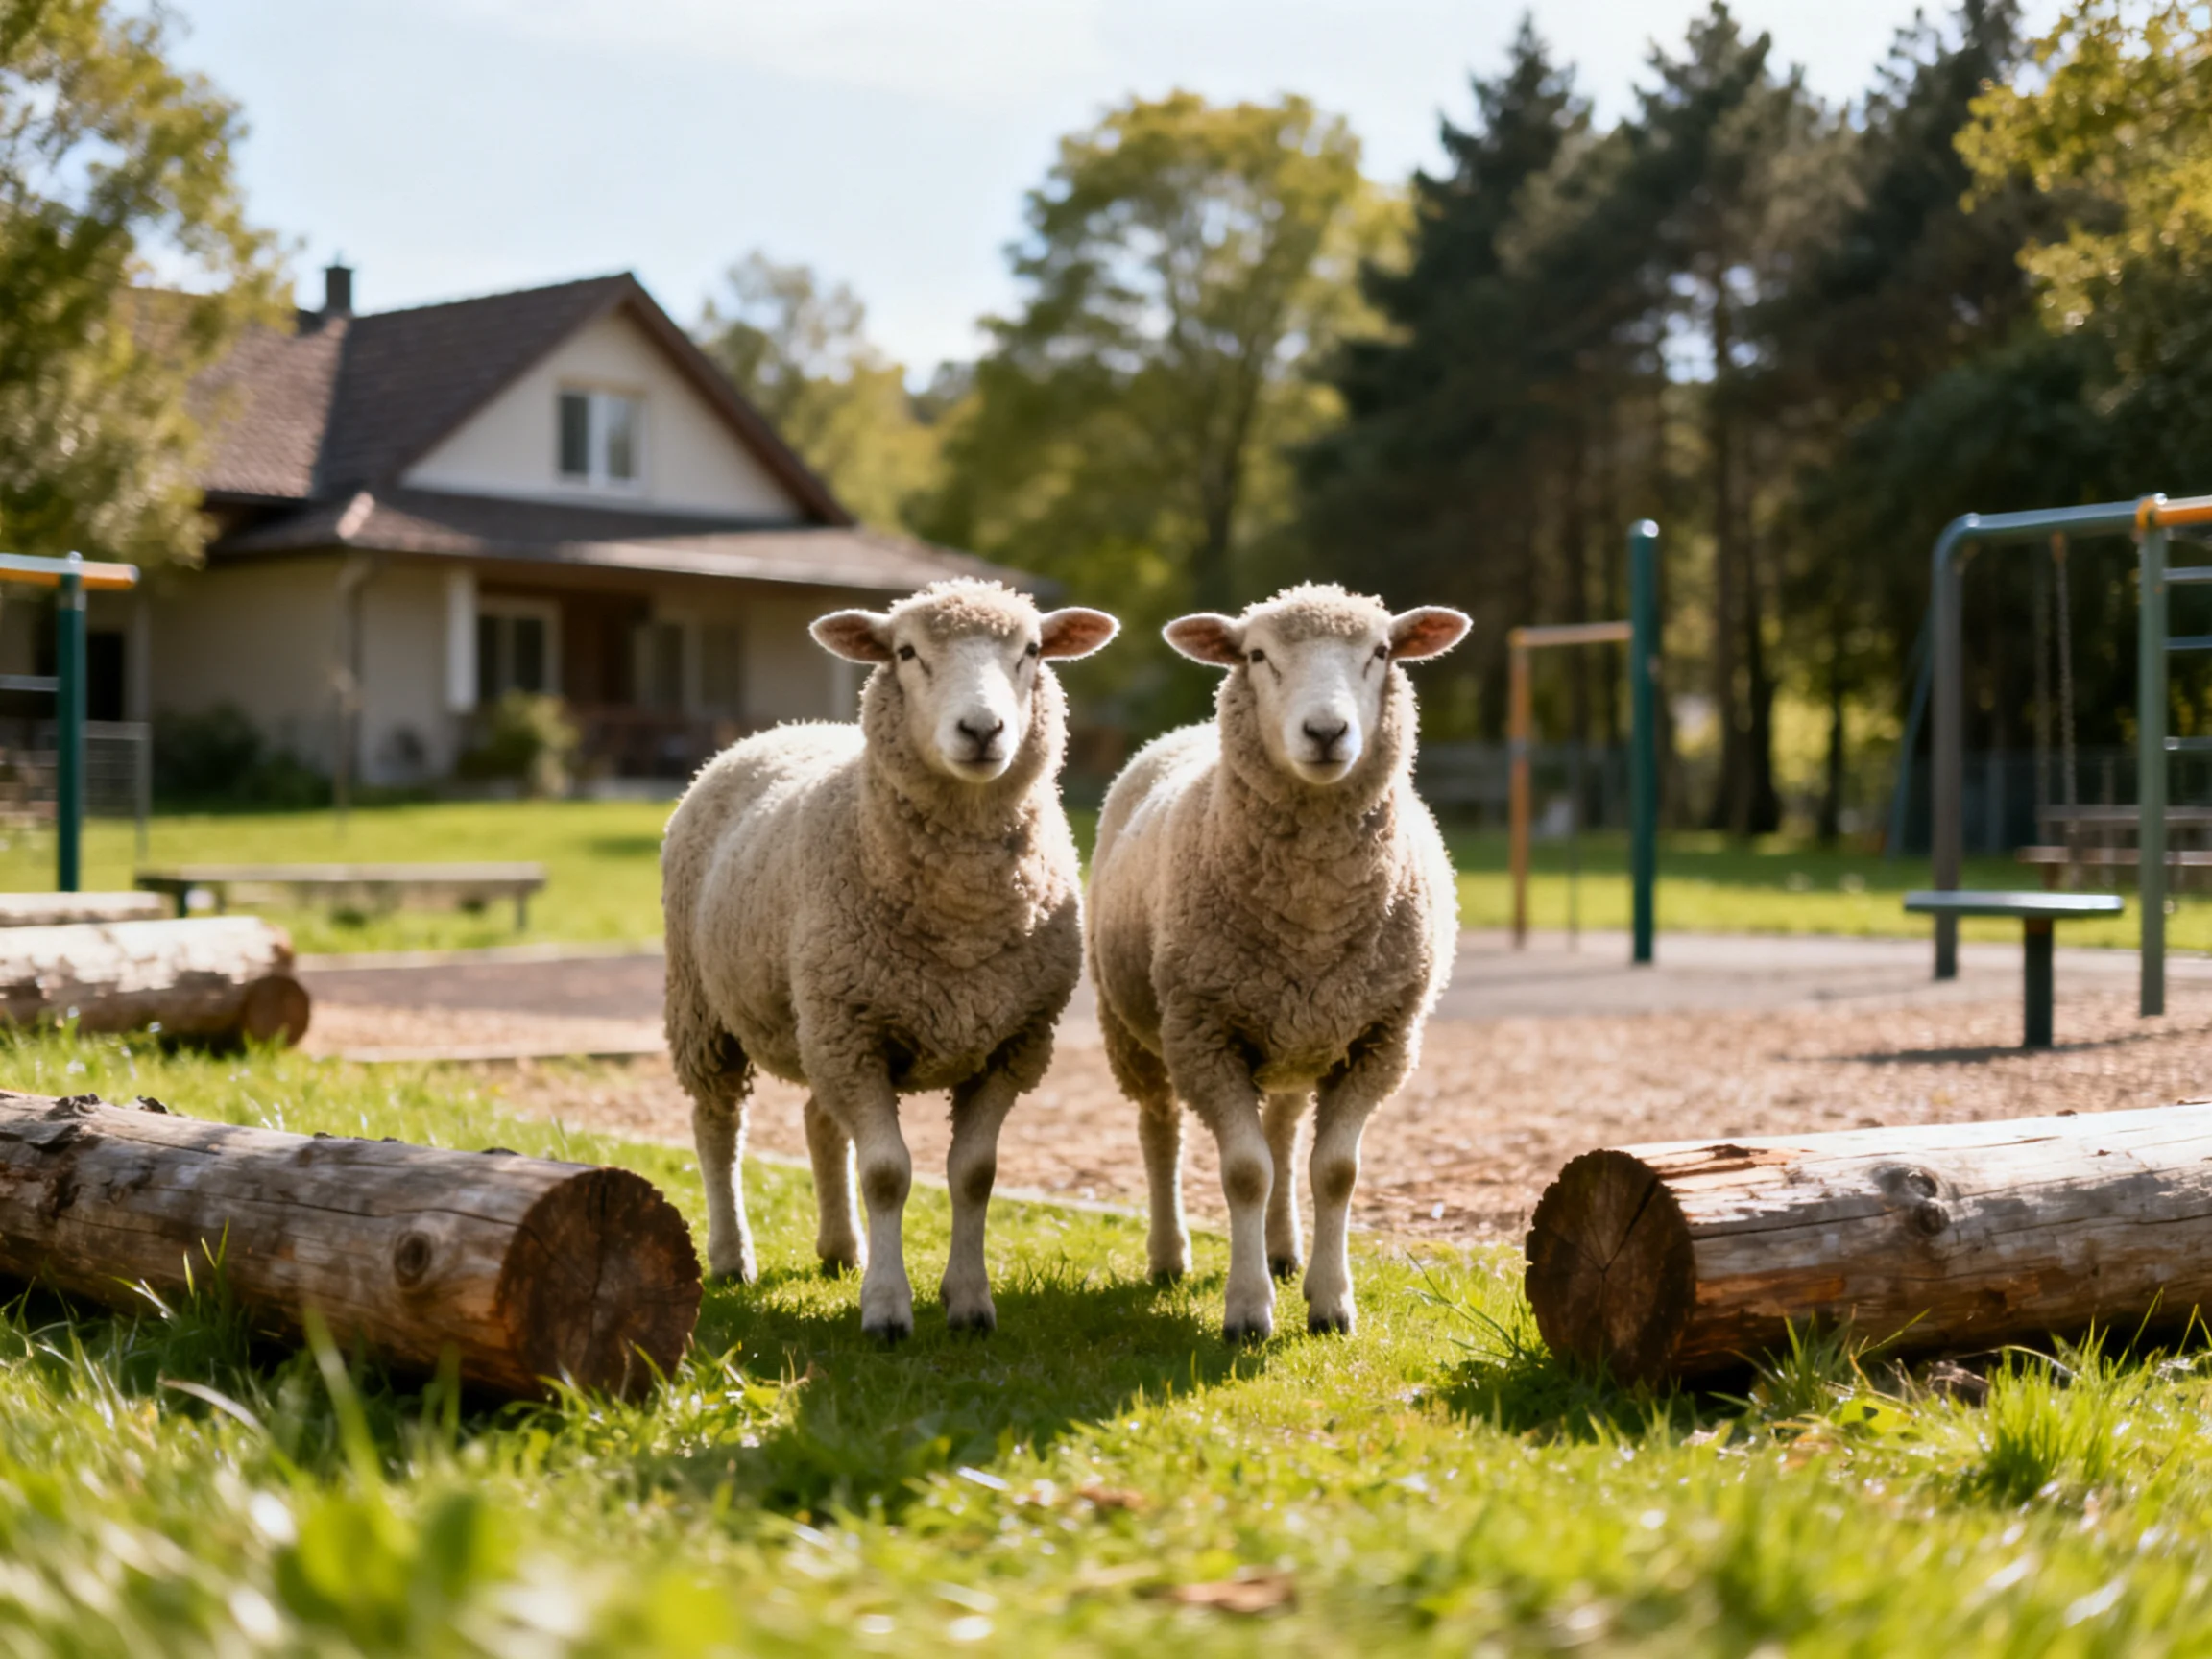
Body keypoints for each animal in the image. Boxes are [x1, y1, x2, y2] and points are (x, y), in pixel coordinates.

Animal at [661, 579, 1118, 1340]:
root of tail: (780, 729)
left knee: (819, 1122)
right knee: (716, 1129)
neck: (961, 916)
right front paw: (886, 1309)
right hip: (708, 1008)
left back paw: (840, 1249)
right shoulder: (856, 1032)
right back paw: (731, 1256)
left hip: (819, 1019)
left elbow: (974, 1173)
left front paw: (968, 1301)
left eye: (1030, 650)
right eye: (906, 652)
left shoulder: (1013, 1041)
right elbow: (886, 1174)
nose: (982, 730)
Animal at [1085, 582, 1469, 1341]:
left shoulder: (1382, 1039)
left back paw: (1284, 1249)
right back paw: (1169, 1256)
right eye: (1258, 655)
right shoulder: (1204, 1033)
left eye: (1381, 651)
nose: (1325, 732)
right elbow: (1244, 1173)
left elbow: (1335, 1171)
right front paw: (1246, 1310)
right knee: (1160, 1130)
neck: (1312, 916)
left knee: (1286, 1133)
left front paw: (1330, 1304)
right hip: (1133, 1028)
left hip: (1299, 1035)